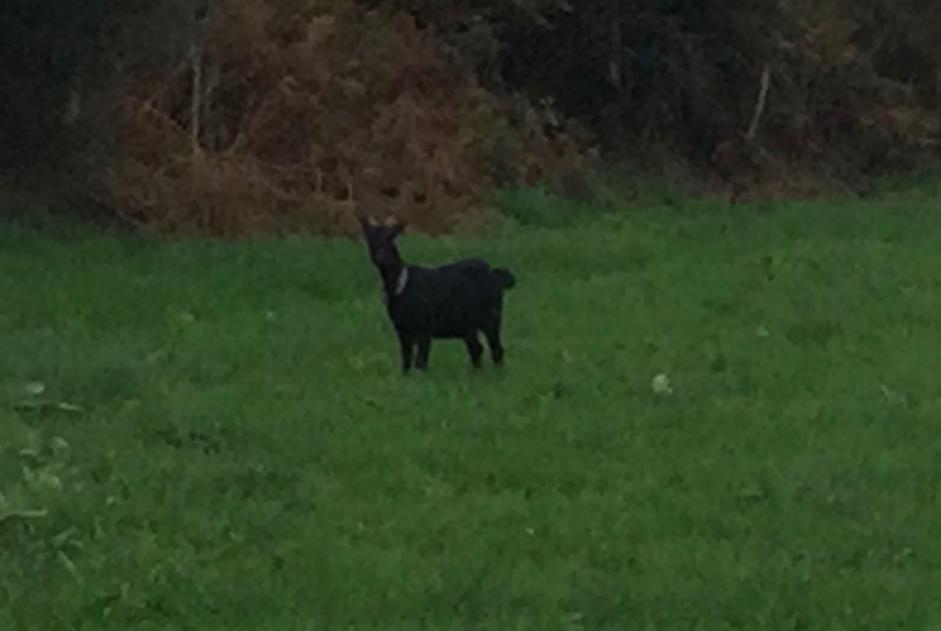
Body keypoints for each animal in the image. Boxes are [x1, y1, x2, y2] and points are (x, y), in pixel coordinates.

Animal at [358, 217, 516, 376]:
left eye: (392, 237)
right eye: (370, 238)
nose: (382, 257)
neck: (402, 285)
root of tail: (496, 275)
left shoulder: (424, 328)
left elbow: (421, 361)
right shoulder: (402, 329)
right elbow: (406, 360)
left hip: (491, 317)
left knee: (496, 348)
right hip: (467, 324)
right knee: (476, 348)